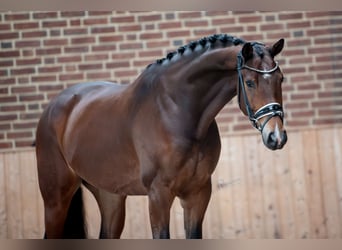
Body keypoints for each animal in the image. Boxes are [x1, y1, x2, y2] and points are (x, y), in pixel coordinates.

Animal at [35, 34, 286, 239]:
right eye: (250, 82)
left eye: (281, 79)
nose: (276, 136)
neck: (178, 110)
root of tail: (54, 107)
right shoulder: (158, 195)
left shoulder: (197, 193)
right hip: (55, 200)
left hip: (110, 197)